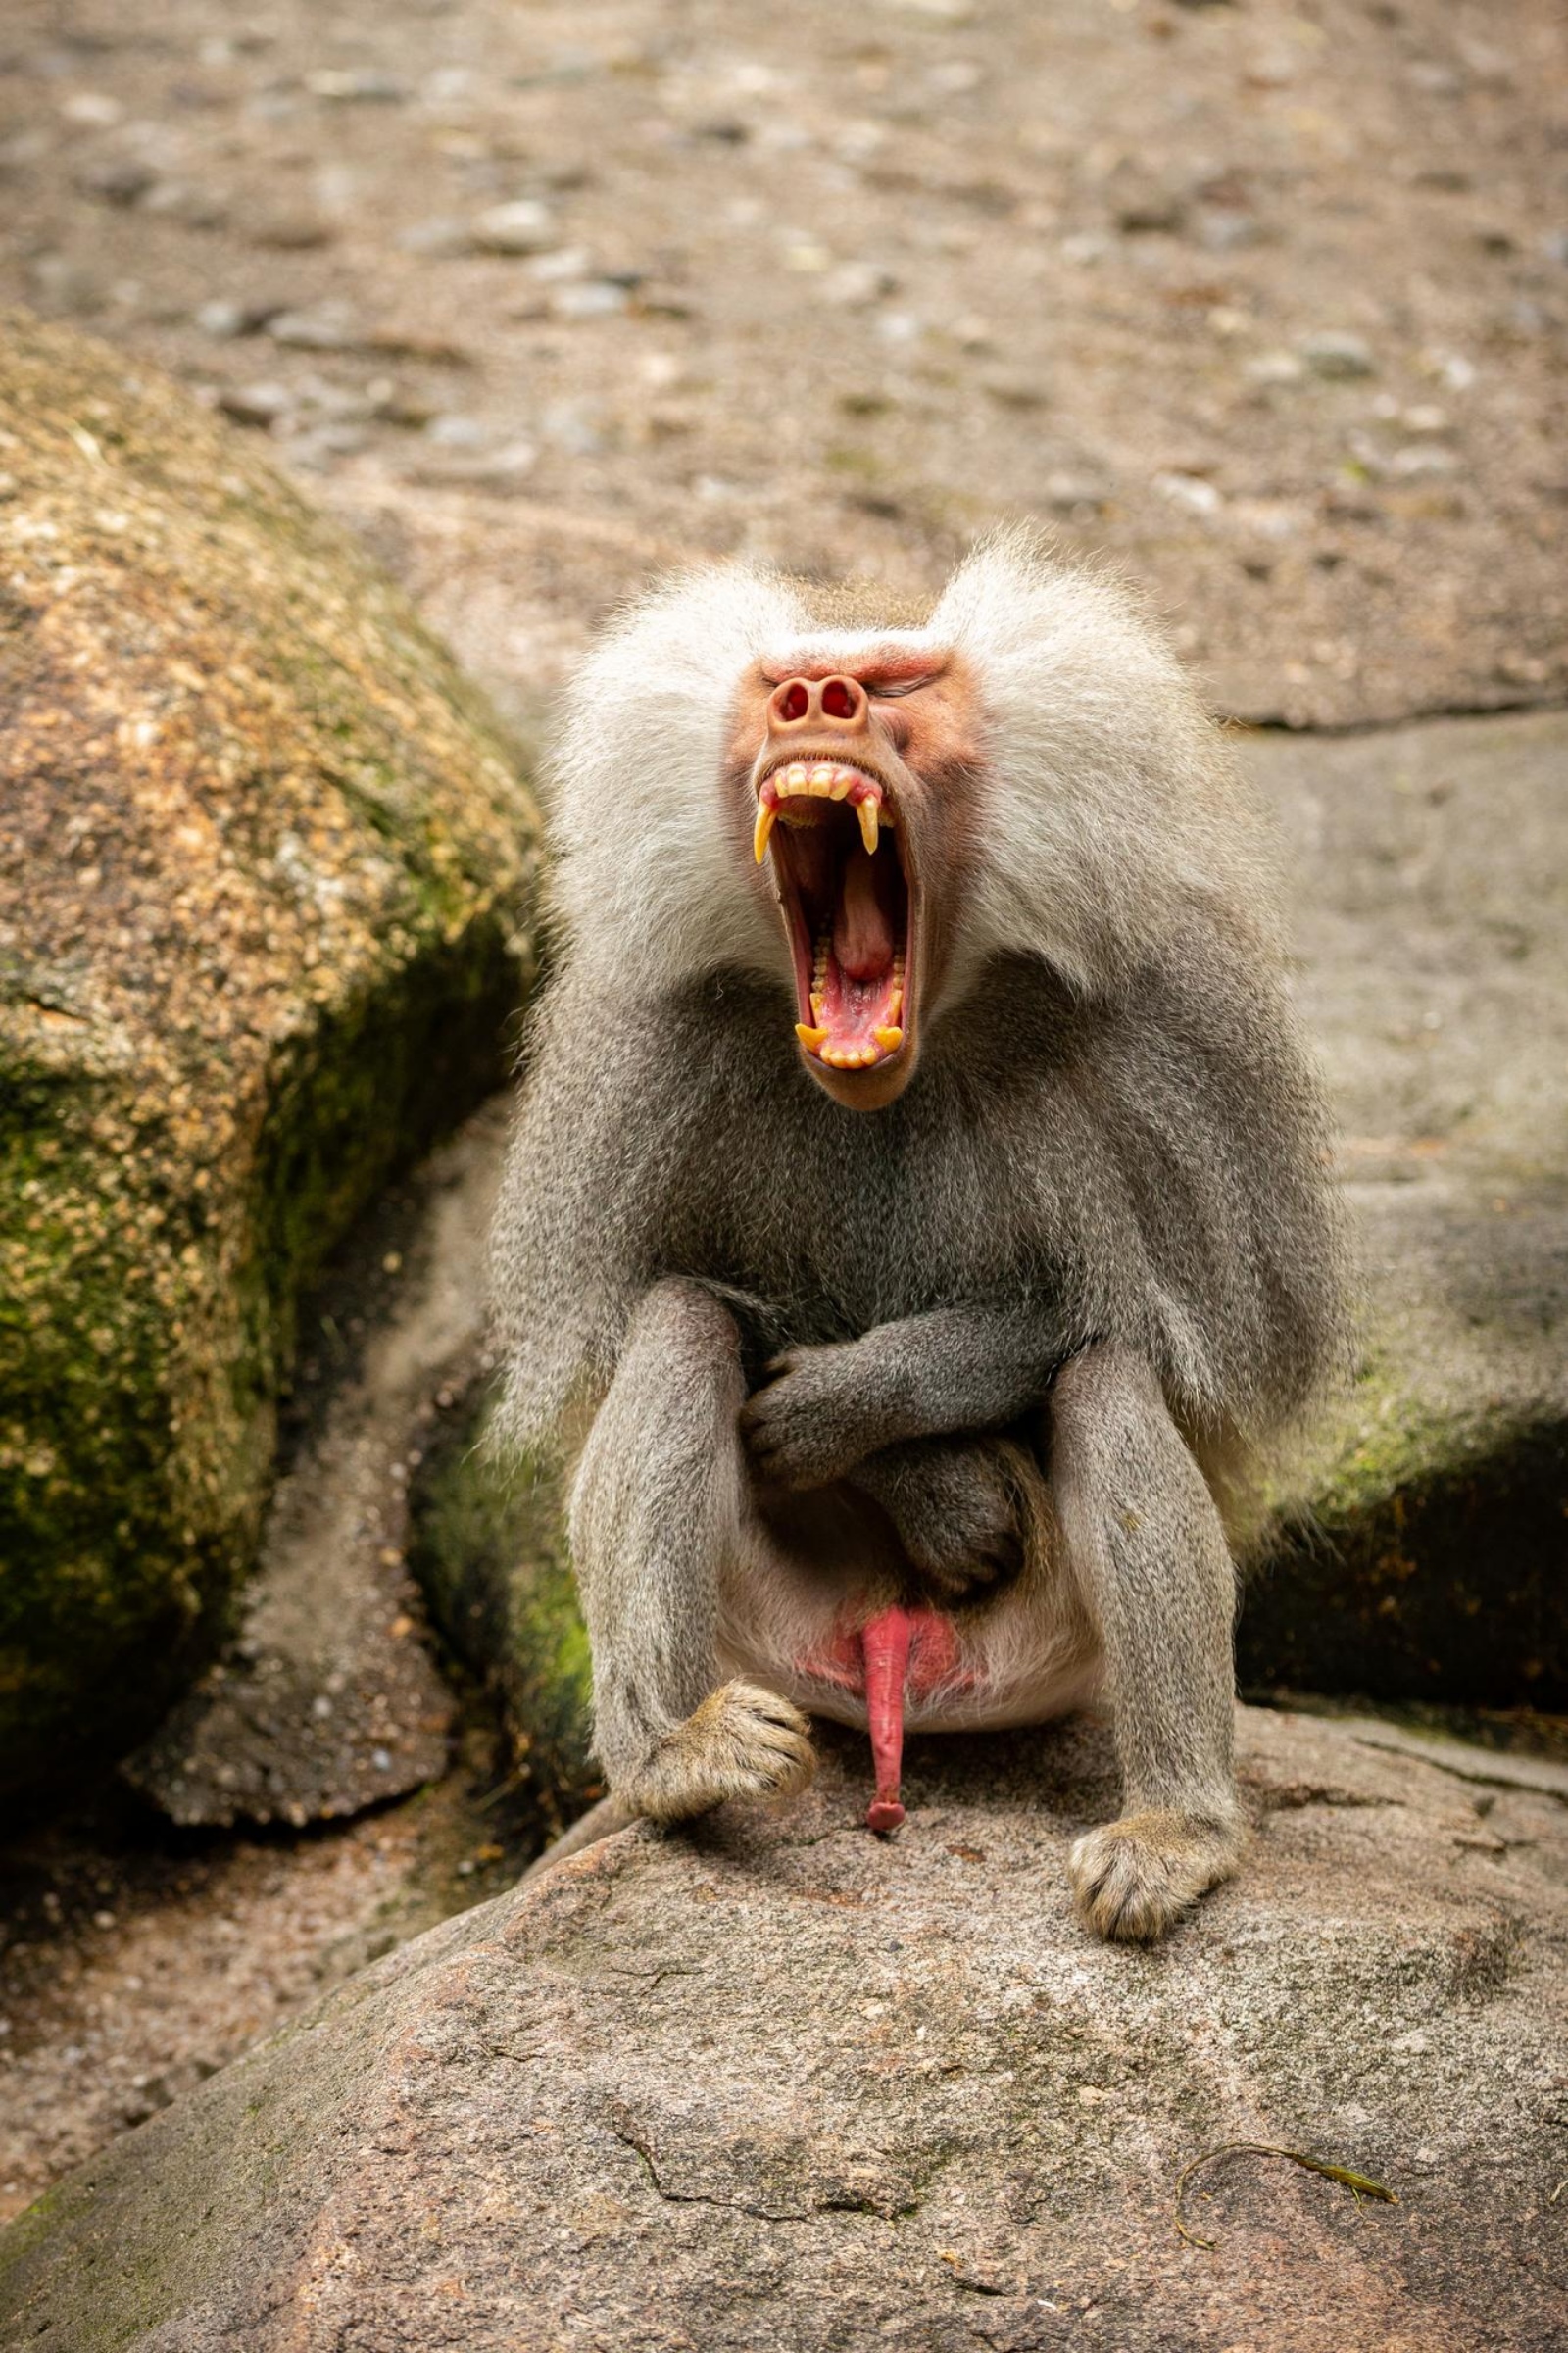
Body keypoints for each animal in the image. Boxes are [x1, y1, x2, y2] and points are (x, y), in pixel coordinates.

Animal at [490, 526, 1346, 1942]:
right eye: (780, 684)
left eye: (892, 685)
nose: (813, 700)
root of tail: (893, 1673)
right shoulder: (641, 1055)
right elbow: (653, 1312)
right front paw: (916, 1476)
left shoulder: (1180, 1031)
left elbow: (1155, 1334)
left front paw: (861, 1410)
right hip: (767, 1639)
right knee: (679, 1327)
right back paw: (676, 1756)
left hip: (1050, 1655)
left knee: (1106, 1388)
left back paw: (1175, 1835)